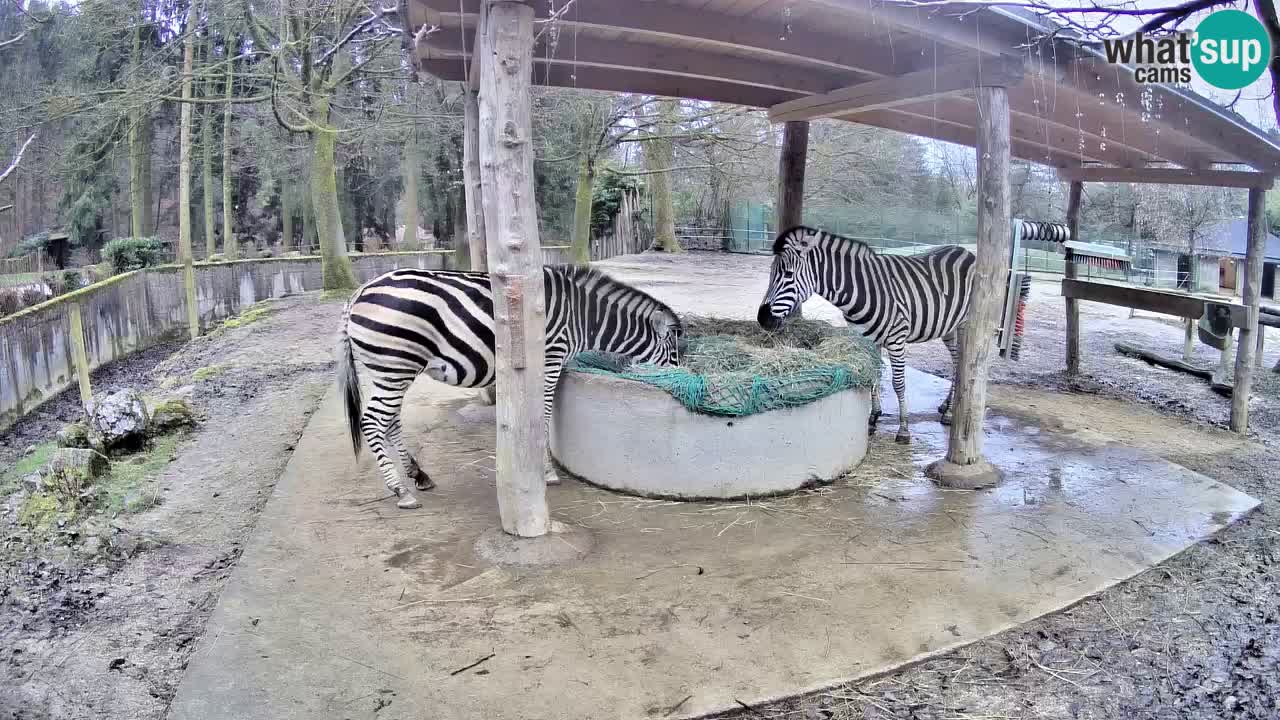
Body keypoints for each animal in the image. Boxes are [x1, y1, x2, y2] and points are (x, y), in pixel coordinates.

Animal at [335, 262, 686, 504]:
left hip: (390, 369)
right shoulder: (550, 358)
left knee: (391, 420)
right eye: (674, 356)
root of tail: (357, 293)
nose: (685, 379)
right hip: (395, 364)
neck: (583, 317)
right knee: (373, 421)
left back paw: (418, 474)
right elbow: (544, 414)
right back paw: (400, 490)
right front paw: (547, 471)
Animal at [752, 224, 972, 443]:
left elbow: (898, 383)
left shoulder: (896, 338)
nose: (762, 318)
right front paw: (873, 418)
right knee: (956, 362)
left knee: (960, 364)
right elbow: (873, 375)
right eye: (771, 272)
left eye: (788, 274)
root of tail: (965, 251)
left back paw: (950, 413)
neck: (862, 290)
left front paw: (903, 429)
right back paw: (946, 406)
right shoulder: (867, 339)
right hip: (949, 327)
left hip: (964, 324)